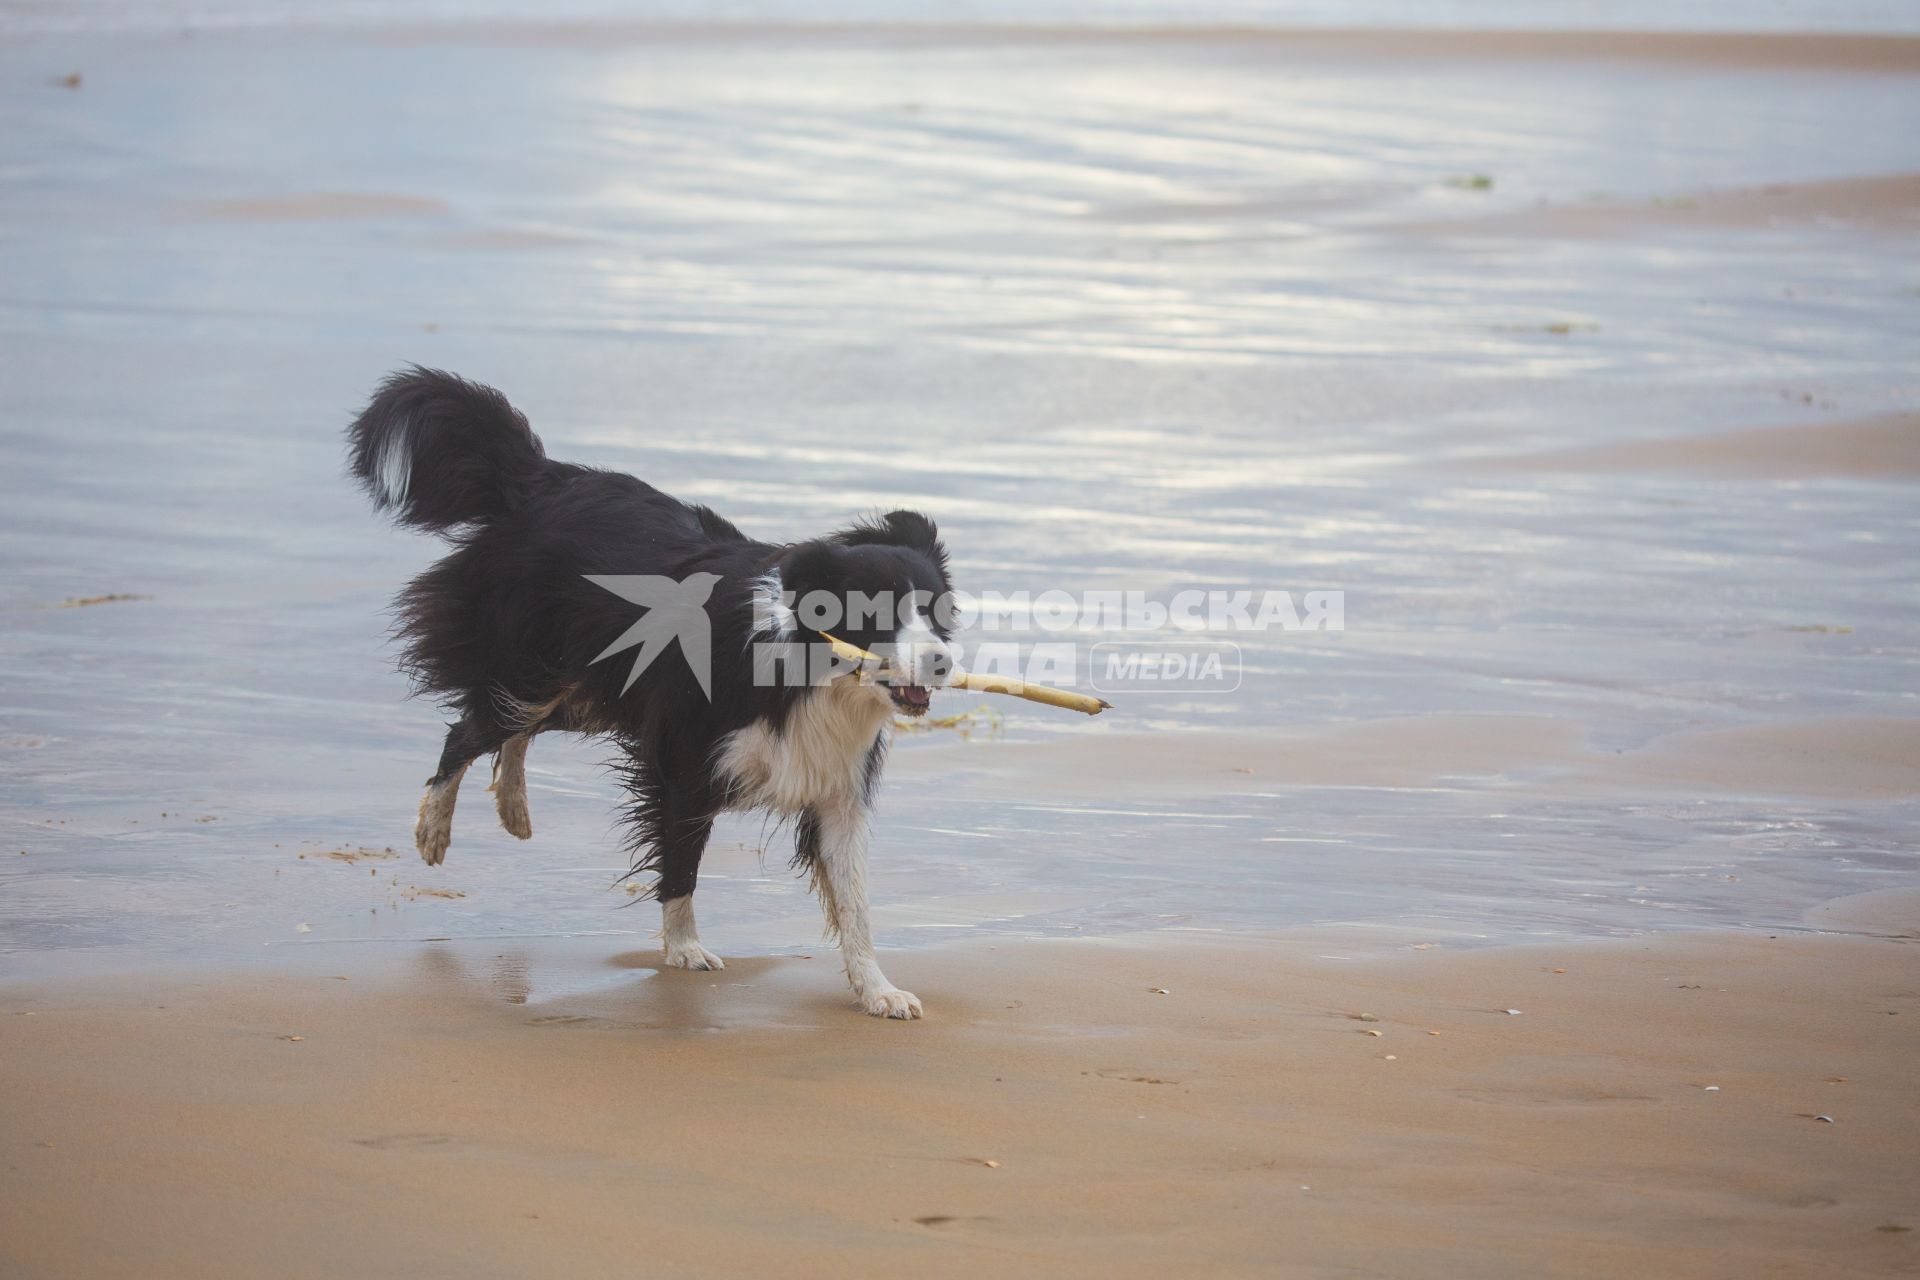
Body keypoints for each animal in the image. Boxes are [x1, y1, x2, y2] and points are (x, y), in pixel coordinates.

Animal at [347, 368, 960, 1020]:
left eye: (936, 612)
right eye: (877, 615)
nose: (943, 663)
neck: (819, 680)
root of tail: (539, 480)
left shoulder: (836, 765)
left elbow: (853, 891)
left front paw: (882, 992)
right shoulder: (694, 738)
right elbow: (682, 850)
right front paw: (686, 951)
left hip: (590, 681)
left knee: (517, 727)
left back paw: (513, 809)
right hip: (533, 651)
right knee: (475, 727)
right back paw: (433, 832)